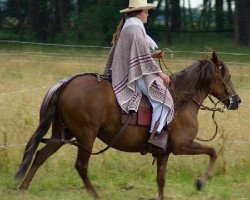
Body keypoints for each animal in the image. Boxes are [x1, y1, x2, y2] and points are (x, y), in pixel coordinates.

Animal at [15, 51, 240, 198]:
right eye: (227, 76)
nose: (236, 101)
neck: (181, 101)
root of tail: (66, 84)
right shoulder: (182, 146)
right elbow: (212, 152)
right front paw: (201, 181)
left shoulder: (164, 153)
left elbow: (161, 180)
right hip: (85, 136)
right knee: (81, 166)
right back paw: (95, 195)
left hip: (62, 134)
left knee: (40, 155)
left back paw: (23, 188)